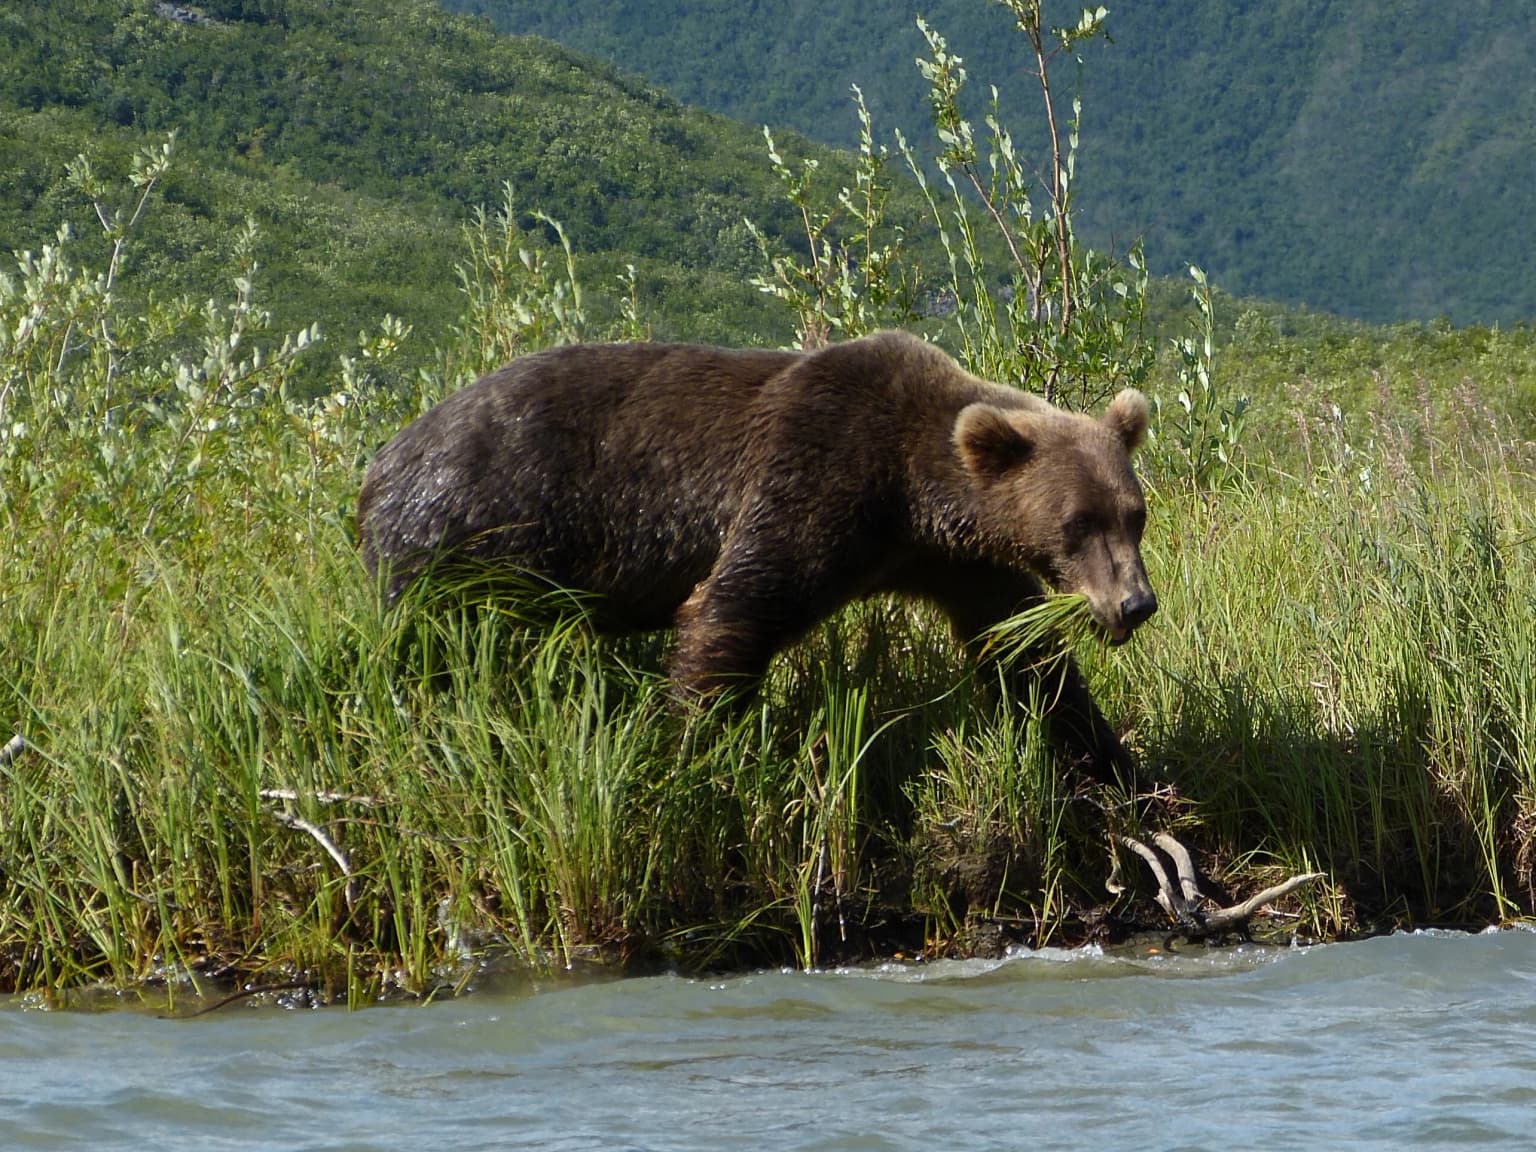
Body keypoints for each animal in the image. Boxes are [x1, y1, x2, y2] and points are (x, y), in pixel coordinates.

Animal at [356, 330, 1157, 781]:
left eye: (1135, 515)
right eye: (1077, 523)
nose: (1135, 603)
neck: (908, 493)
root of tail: (379, 461)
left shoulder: (951, 565)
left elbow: (1024, 653)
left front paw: (1116, 762)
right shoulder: (816, 468)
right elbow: (736, 600)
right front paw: (691, 742)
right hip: (462, 531)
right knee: (431, 647)